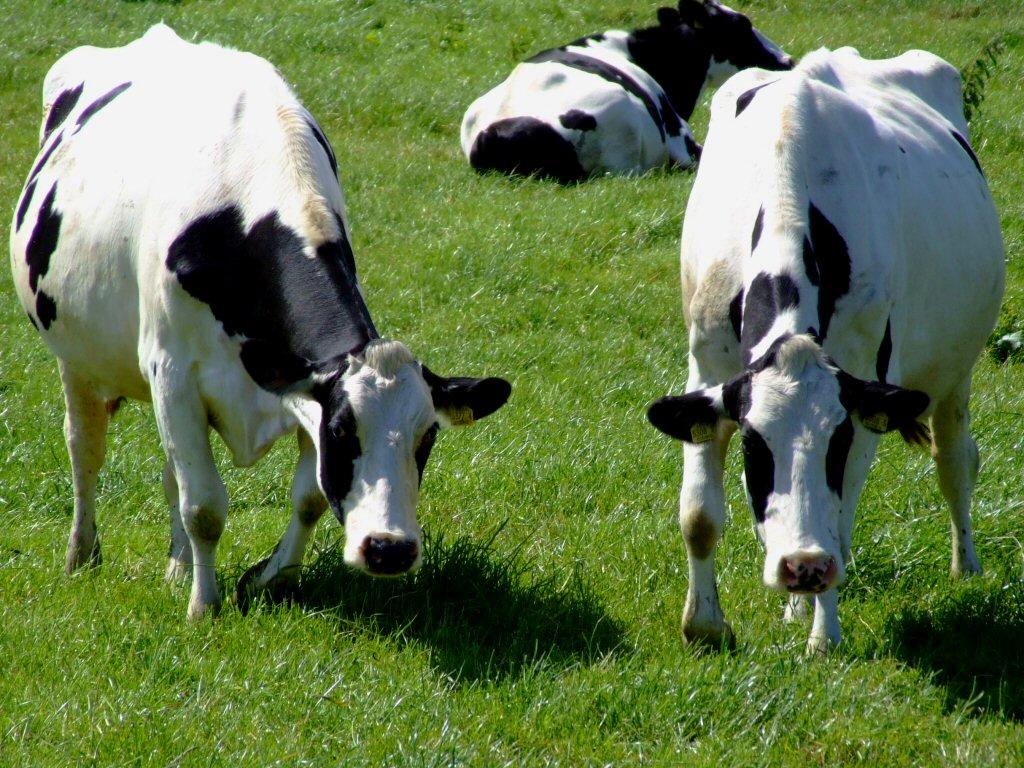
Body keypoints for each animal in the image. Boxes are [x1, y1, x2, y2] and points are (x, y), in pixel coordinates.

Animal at [9, 24, 512, 621]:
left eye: (427, 435)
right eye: (343, 431)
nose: (388, 549)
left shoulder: (298, 385)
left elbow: (308, 496)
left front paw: (272, 577)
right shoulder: (175, 374)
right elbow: (205, 505)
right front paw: (204, 607)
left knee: (169, 474)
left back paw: (176, 567)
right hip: (77, 357)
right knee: (86, 450)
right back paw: (82, 554)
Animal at [646, 47, 1005, 654]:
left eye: (835, 442)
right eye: (754, 444)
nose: (803, 567)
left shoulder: (863, 394)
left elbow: (839, 520)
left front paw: (824, 638)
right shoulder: (708, 370)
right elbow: (698, 513)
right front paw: (705, 626)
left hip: (958, 368)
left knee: (956, 459)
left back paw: (966, 567)